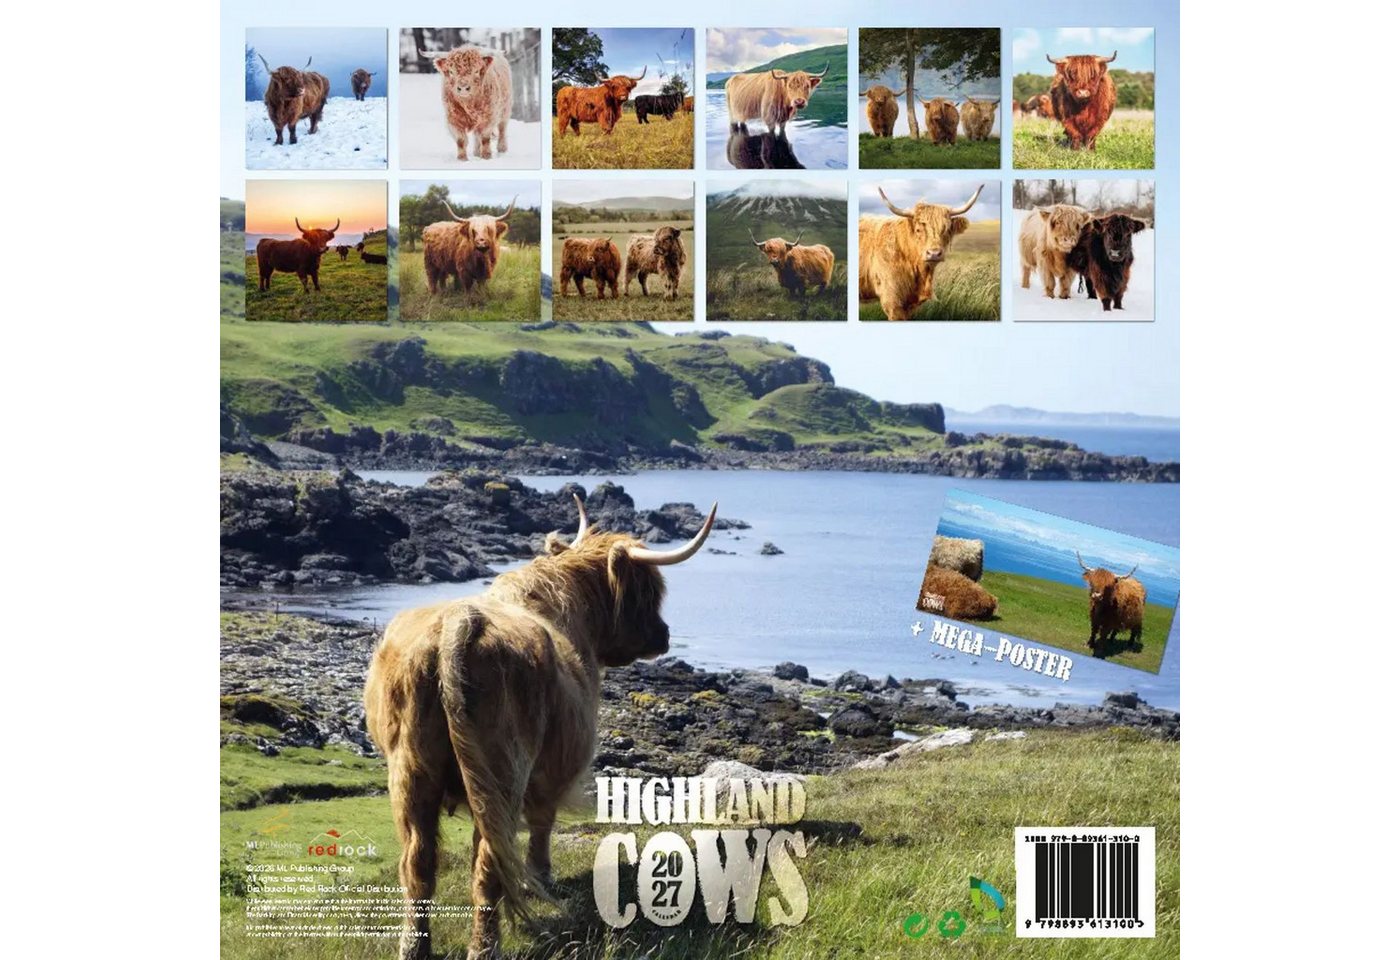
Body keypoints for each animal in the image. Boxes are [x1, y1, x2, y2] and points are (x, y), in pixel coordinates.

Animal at [364, 495, 718, 960]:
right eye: (649, 592)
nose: (664, 635)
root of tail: (461, 620)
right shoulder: (555, 771)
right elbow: (542, 824)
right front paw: (542, 878)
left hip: (408, 772)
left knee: (418, 863)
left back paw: (414, 947)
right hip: (503, 772)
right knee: (488, 862)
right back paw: (485, 947)